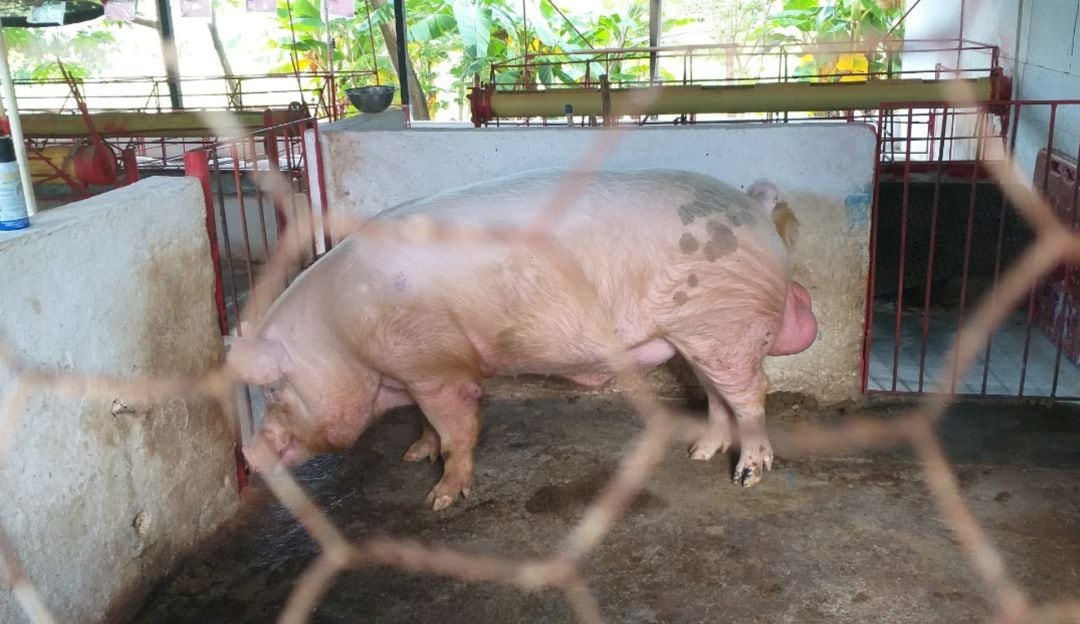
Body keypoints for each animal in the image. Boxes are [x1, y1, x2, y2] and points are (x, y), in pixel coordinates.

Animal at [228, 169, 818, 510]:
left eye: (274, 390)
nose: (248, 452)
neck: (341, 336)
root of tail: (754, 206)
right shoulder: (415, 372)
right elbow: (426, 423)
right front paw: (413, 455)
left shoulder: (435, 364)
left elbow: (457, 426)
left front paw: (440, 498)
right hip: (698, 334)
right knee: (718, 395)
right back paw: (699, 453)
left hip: (726, 321)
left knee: (752, 395)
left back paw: (747, 476)